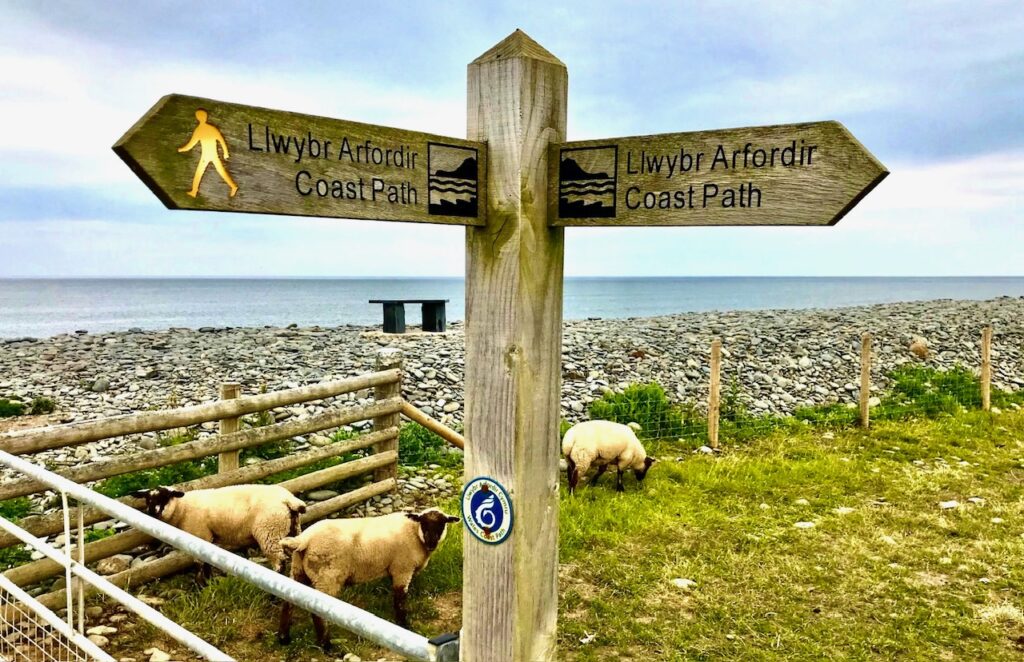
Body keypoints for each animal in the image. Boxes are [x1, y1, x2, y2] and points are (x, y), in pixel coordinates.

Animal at [134, 485, 305, 582]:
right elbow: (207, 562)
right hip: (291, 529)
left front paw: (202, 585)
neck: (182, 509)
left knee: (279, 563)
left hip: (269, 531)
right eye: (147, 499)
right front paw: (209, 582)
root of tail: (289, 500)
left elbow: (200, 563)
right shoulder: (206, 539)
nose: (152, 512)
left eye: (165, 497)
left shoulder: (200, 536)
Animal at [278, 506, 458, 651]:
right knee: (318, 612)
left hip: (298, 570)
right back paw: (326, 646)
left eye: (443, 523)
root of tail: (303, 539)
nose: (431, 543)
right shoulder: (402, 569)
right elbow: (400, 599)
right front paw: (403, 625)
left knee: (288, 603)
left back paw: (284, 638)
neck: (414, 533)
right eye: (423, 522)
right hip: (327, 577)